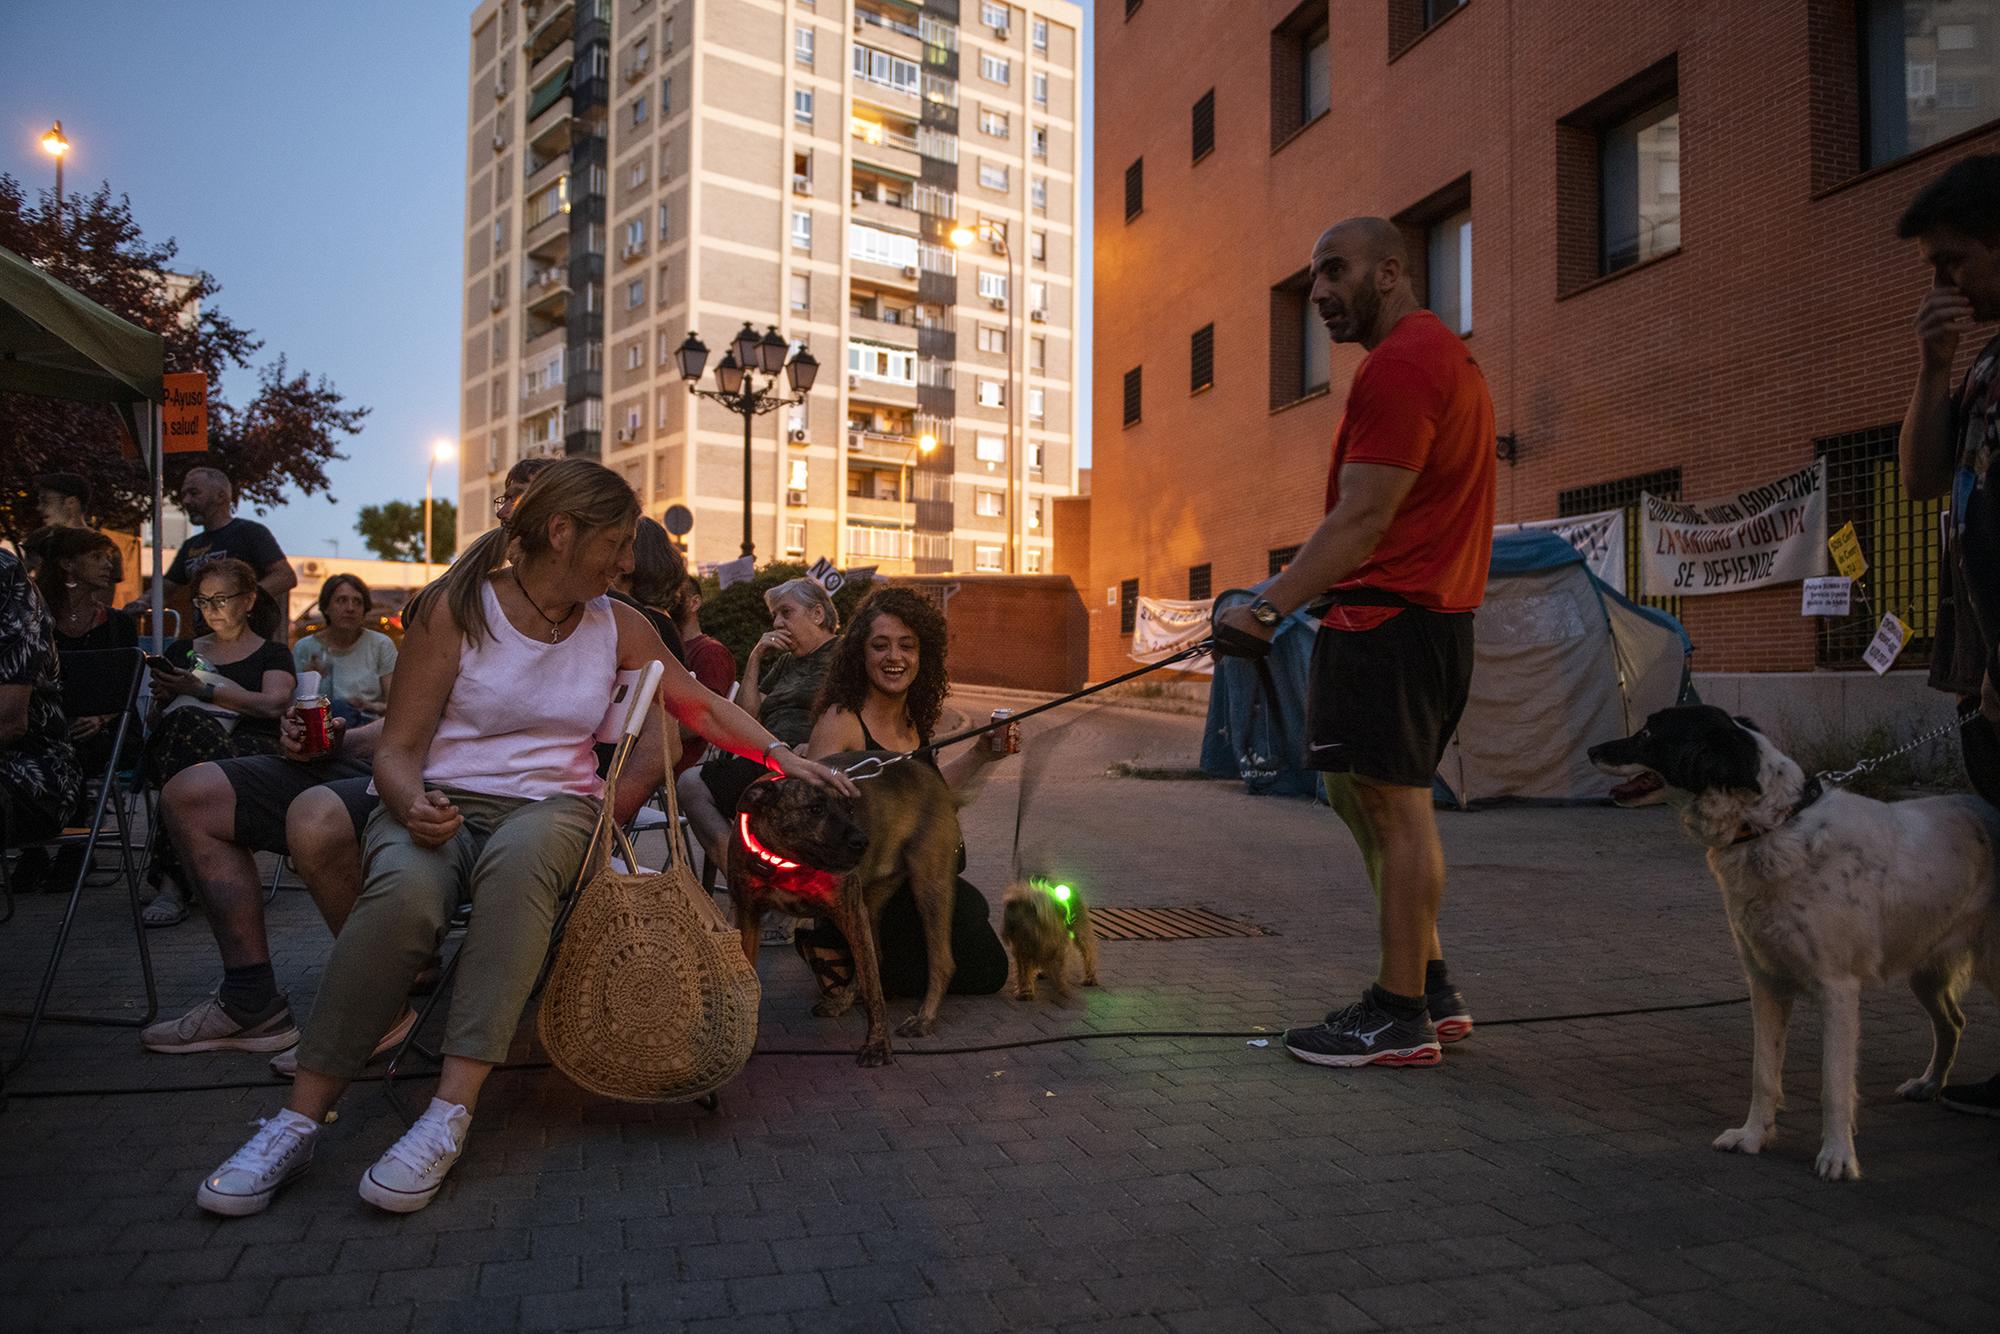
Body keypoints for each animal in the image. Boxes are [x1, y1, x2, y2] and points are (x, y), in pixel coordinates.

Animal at [728, 756, 960, 1072]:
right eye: (815, 809)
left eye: (850, 808)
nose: (862, 841)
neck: (786, 861)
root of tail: (923, 766)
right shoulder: (748, 916)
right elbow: (750, 977)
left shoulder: (849, 910)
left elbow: (875, 993)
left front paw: (877, 1046)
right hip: (872, 901)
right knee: (875, 955)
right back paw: (843, 1001)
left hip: (928, 886)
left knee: (939, 961)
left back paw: (924, 1018)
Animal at [1592, 704, 2000, 1184]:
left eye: (1649, 732)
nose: (1591, 750)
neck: (1771, 826)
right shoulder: (1766, 982)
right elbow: (1763, 1073)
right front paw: (1753, 1136)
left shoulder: (1838, 990)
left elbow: (1833, 1084)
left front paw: (1838, 1156)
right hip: (1926, 968)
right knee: (1952, 1022)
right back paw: (1931, 1084)